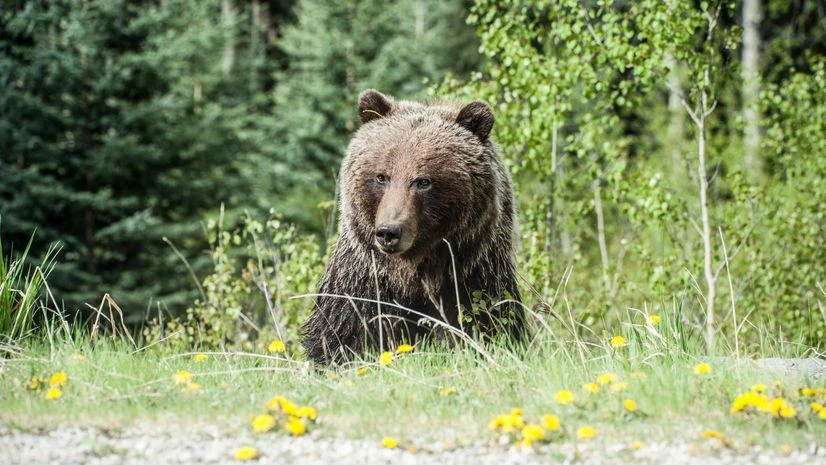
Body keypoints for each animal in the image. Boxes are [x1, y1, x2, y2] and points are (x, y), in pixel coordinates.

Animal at [301, 89, 525, 364]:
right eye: (381, 177)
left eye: (423, 181)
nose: (389, 232)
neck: (413, 274)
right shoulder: (362, 283)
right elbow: (342, 336)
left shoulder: (473, 278)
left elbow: (488, 325)